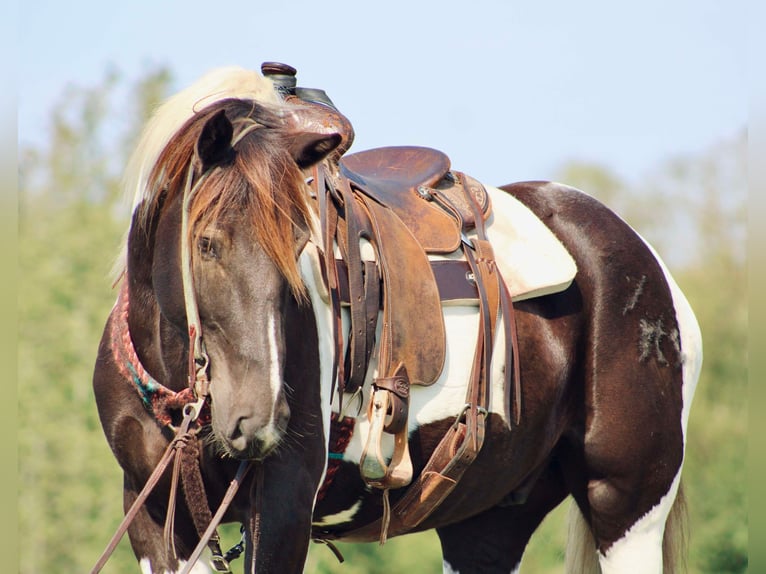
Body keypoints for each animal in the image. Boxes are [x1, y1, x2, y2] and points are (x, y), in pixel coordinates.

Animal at [92, 65, 702, 574]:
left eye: (300, 246)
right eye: (207, 244)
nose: (259, 419)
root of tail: (642, 257)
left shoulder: (284, 502)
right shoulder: (158, 521)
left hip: (625, 505)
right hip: (490, 520)